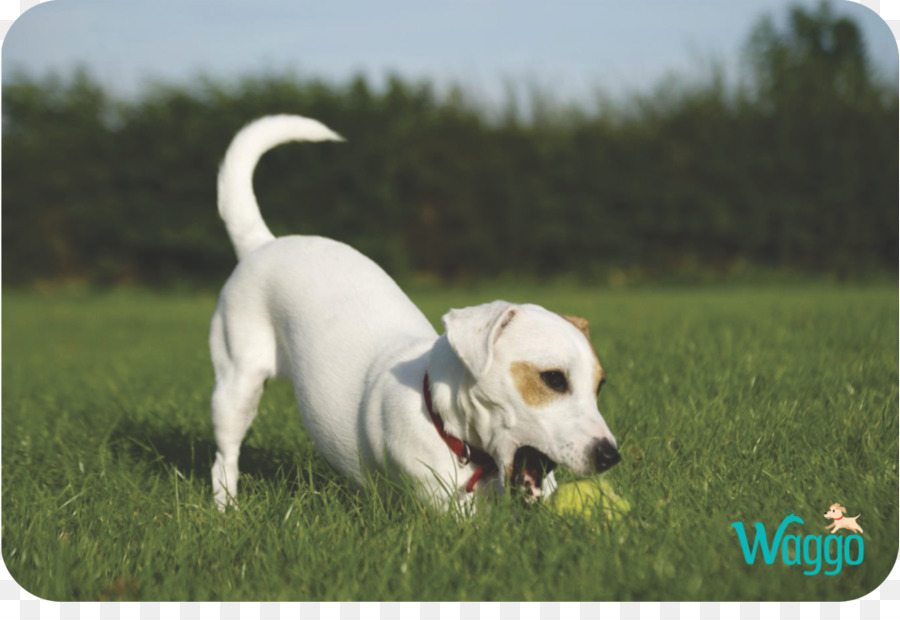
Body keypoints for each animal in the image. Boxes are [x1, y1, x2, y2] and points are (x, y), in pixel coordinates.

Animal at [211, 114, 620, 512]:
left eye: (599, 386)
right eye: (553, 379)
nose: (610, 457)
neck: (451, 430)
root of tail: (262, 244)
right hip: (237, 383)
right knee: (224, 457)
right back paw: (227, 507)